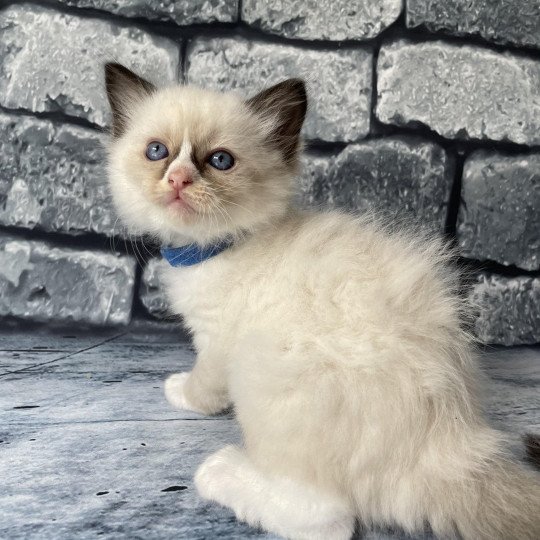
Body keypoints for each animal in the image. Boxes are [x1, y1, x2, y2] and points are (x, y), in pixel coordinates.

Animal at [102, 64, 540, 540]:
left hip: (260, 369)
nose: (178, 180)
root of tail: (449, 450)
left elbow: (203, 384)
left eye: (220, 161)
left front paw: (180, 391)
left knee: (324, 518)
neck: (218, 247)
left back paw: (218, 472)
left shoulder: (217, 343)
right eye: (157, 151)